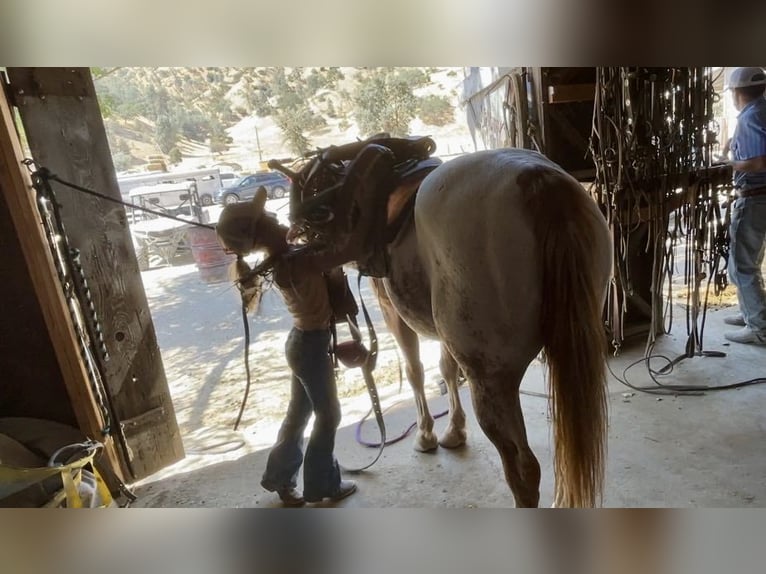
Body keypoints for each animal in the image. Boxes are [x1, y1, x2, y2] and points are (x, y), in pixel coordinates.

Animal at [280, 143, 612, 508]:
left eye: (312, 188)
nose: (296, 235)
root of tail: (538, 182)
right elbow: (446, 368)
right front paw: (454, 431)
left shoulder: (392, 310)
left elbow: (415, 371)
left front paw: (426, 434)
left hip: (491, 380)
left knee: (524, 469)